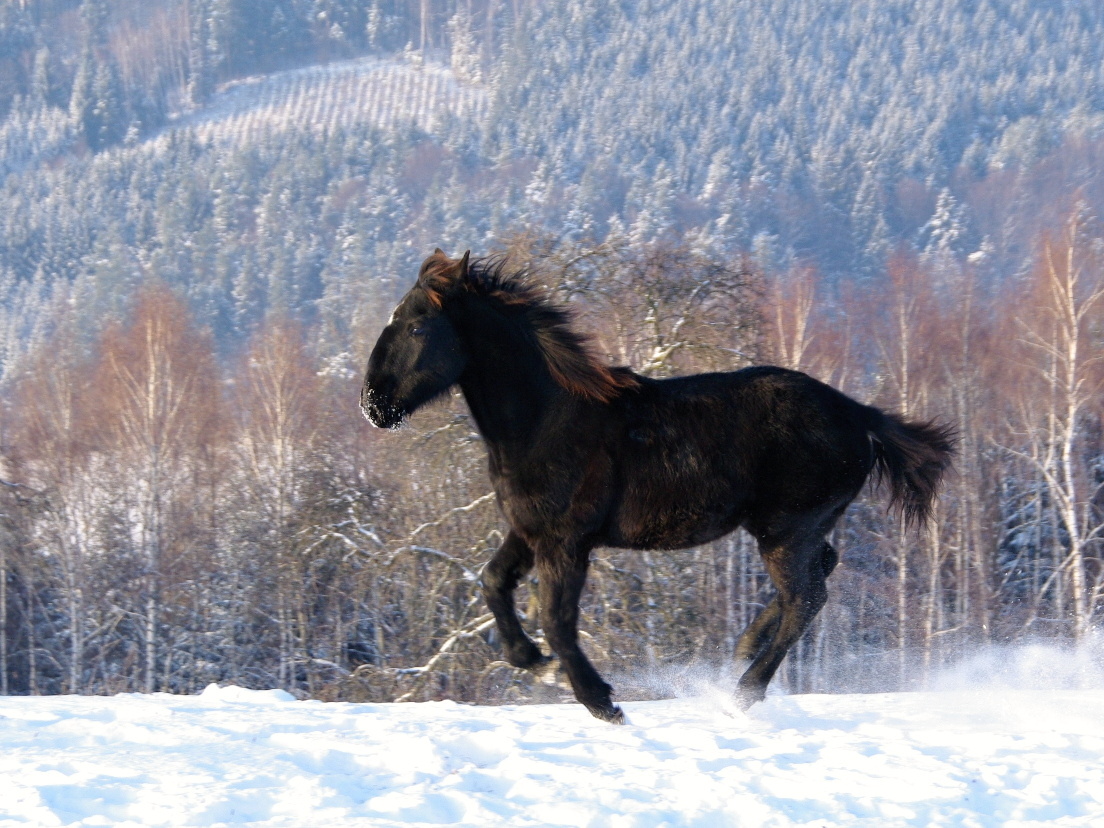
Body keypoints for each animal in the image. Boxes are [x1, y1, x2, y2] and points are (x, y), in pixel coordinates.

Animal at [359, 248, 949, 724]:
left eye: (417, 326)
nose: (373, 405)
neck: (544, 419)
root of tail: (859, 415)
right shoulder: (528, 532)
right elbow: (492, 582)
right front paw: (534, 663)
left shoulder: (566, 542)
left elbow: (557, 619)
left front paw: (601, 701)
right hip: (798, 528)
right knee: (817, 578)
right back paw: (741, 650)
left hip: (786, 531)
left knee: (806, 597)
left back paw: (742, 690)